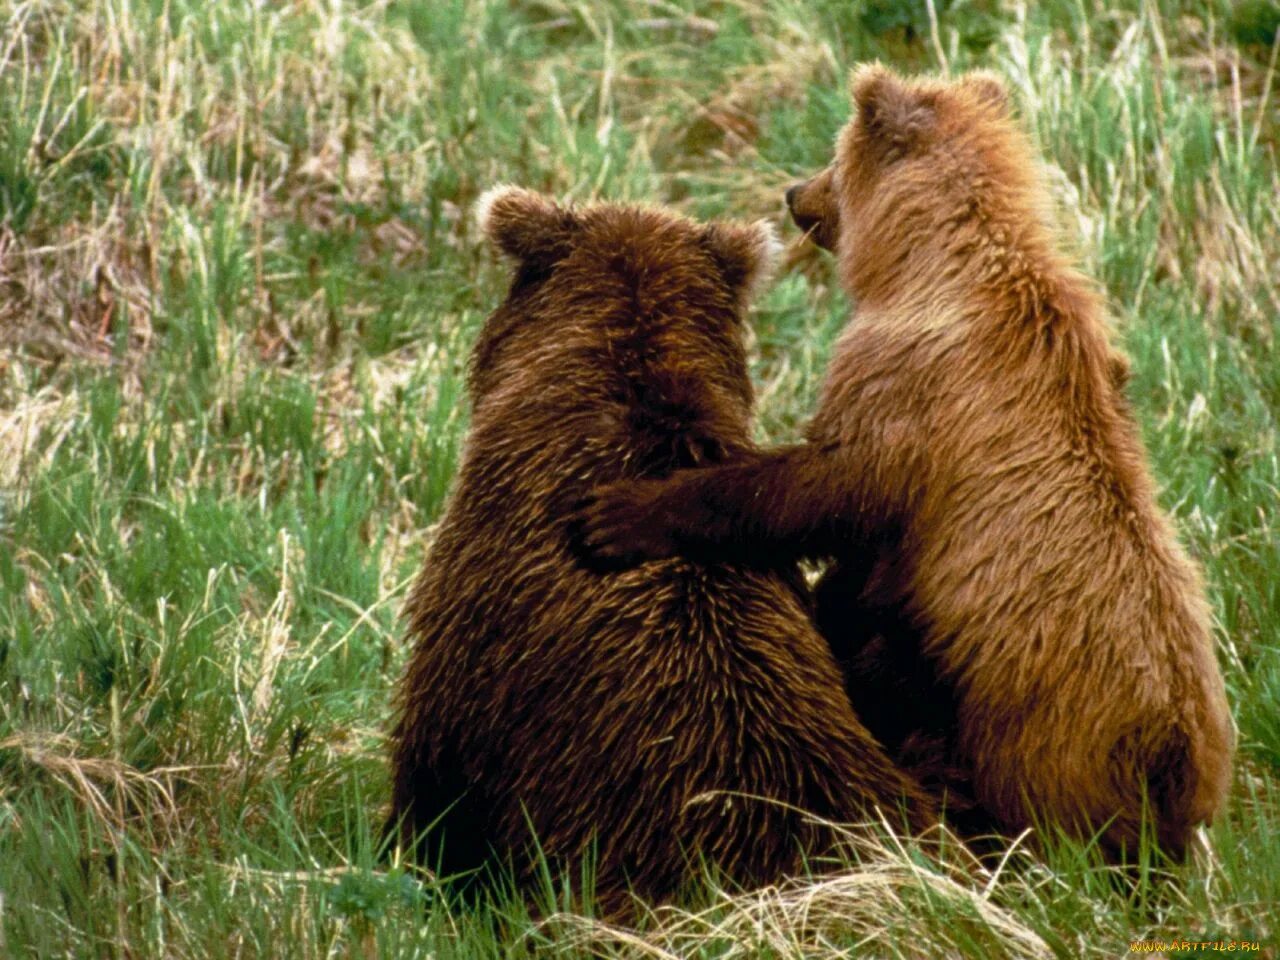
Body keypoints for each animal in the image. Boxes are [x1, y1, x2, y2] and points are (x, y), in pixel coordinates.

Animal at [570, 69, 1228, 865]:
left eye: (834, 154)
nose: (795, 192)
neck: (932, 263)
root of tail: (1175, 753)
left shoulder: (911, 390)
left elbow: (819, 488)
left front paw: (619, 513)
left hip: (1034, 733)